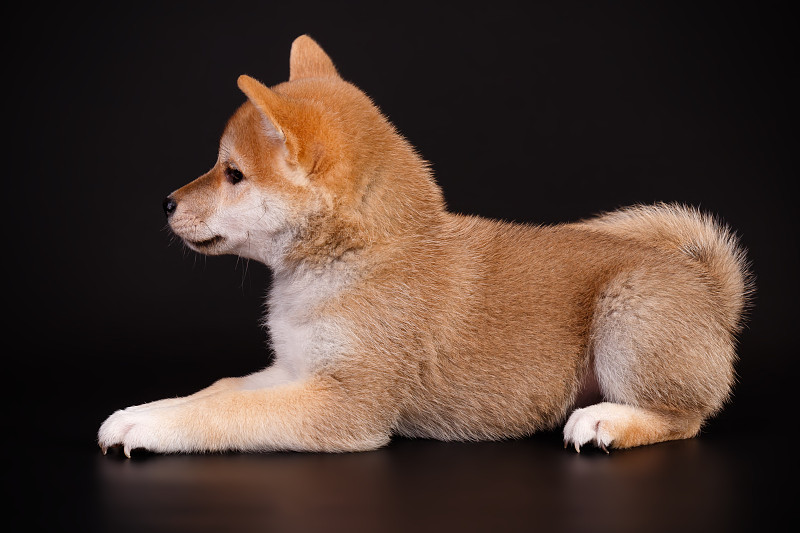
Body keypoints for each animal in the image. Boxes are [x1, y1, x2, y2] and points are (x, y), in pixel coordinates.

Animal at [98, 35, 752, 456]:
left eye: (232, 174)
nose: (166, 203)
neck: (354, 261)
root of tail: (711, 292)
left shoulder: (345, 404)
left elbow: (228, 411)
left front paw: (151, 431)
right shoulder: (294, 369)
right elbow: (217, 390)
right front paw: (143, 412)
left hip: (630, 312)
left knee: (688, 419)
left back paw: (609, 421)